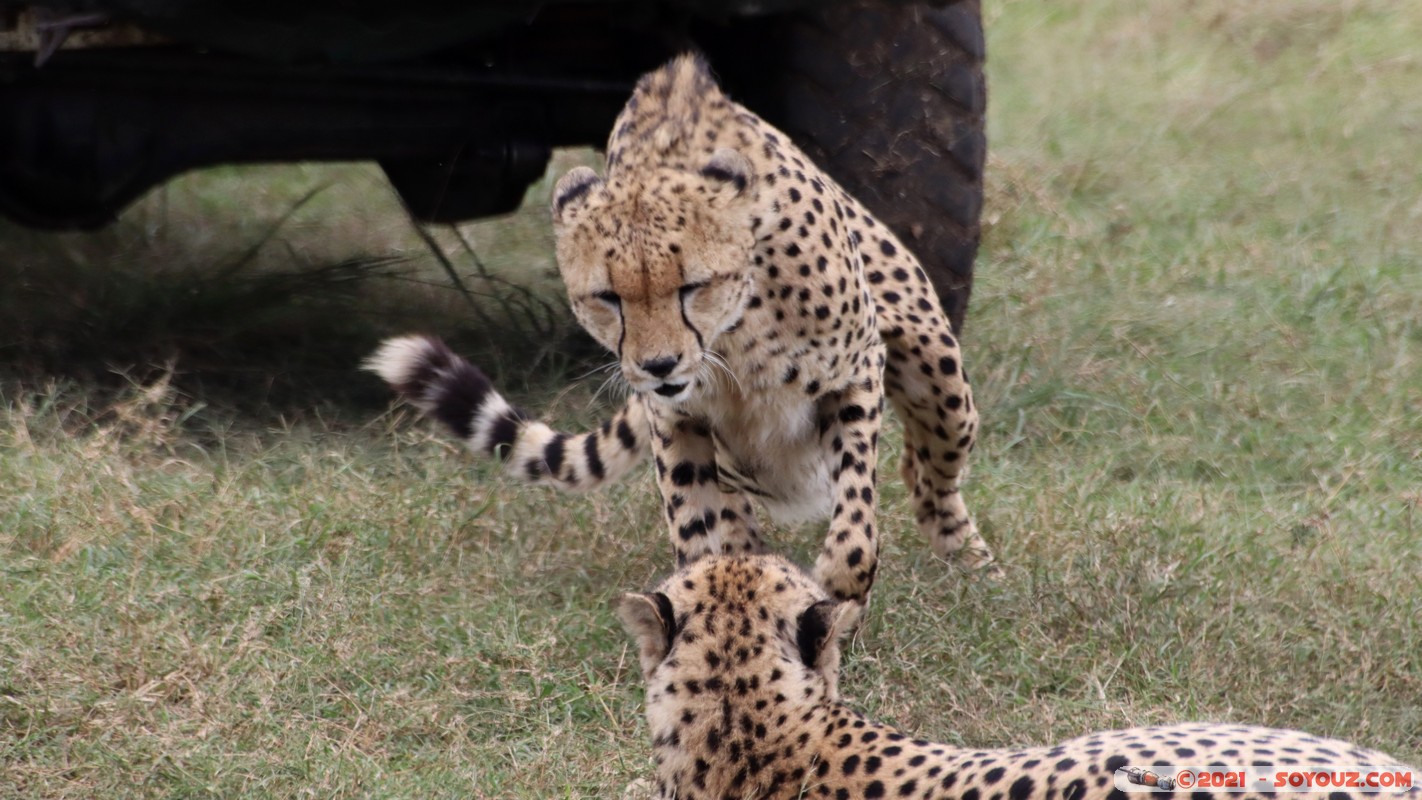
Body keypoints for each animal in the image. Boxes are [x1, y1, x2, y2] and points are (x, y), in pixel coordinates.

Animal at [366, 54, 989, 602]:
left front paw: (839, 589)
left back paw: (973, 565)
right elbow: (698, 526)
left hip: (937, 371)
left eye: (691, 286)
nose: (659, 365)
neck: (735, 339)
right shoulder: (677, 423)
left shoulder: (854, 375)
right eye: (609, 298)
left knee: (926, 470)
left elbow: (857, 514)